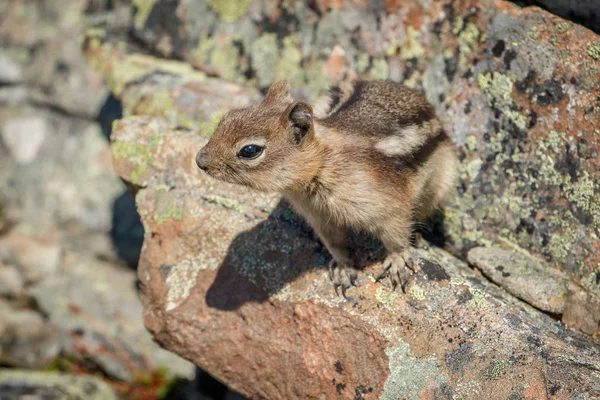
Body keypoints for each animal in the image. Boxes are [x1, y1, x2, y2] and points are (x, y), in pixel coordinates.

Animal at [195, 79, 458, 296]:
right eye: (226, 118)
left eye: (250, 150)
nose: (200, 160)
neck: (321, 166)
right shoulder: (320, 218)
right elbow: (335, 244)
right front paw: (343, 268)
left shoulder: (389, 205)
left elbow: (395, 236)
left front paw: (397, 260)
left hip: (439, 186)